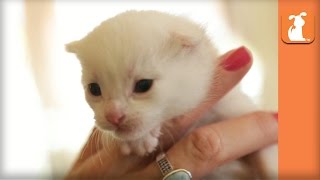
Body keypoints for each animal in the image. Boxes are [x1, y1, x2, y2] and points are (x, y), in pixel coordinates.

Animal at [65, 10, 276, 179]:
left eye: (143, 85)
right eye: (94, 89)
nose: (113, 116)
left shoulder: (237, 108)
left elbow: (267, 154)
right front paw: (138, 141)